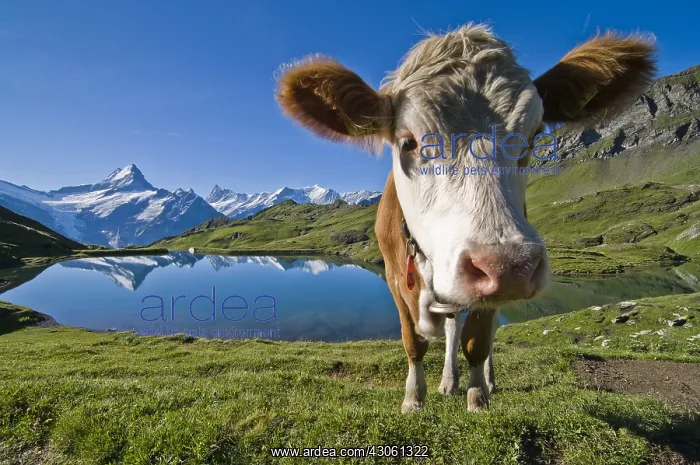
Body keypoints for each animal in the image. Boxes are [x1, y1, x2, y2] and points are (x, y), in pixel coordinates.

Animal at [275, 23, 656, 413]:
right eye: (408, 142)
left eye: (534, 136)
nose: (508, 267)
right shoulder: (395, 276)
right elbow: (414, 341)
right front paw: (414, 398)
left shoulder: (488, 291)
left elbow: (477, 340)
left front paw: (477, 396)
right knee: (450, 325)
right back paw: (448, 380)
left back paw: (485, 379)